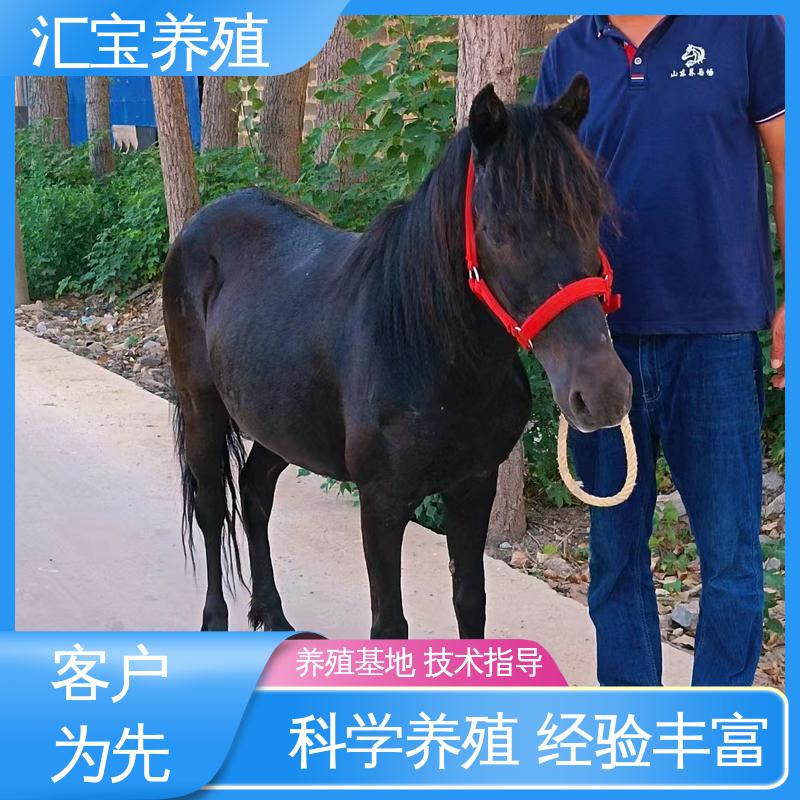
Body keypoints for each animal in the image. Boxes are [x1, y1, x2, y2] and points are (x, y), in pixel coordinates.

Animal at [163, 75, 633, 638]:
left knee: (256, 493)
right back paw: (216, 620)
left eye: (593, 217)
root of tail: (200, 222)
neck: (429, 354)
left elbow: (469, 601)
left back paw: (272, 614)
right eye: (500, 231)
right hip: (202, 408)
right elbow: (390, 624)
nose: (604, 393)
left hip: (282, 421)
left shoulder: (473, 484)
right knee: (213, 508)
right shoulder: (382, 503)